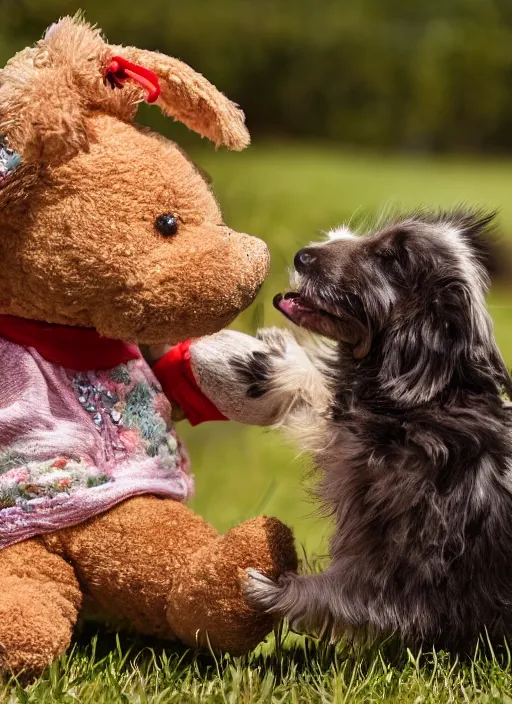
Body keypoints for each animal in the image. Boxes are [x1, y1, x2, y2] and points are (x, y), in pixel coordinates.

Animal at [241, 210, 512, 656]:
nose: (302, 255)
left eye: (392, 259)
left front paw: (271, 589)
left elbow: (337, 595)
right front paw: (276, 364)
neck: (430, 403)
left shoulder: (404, 575)